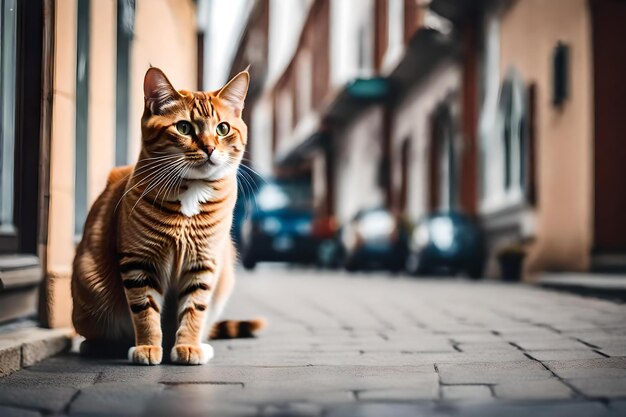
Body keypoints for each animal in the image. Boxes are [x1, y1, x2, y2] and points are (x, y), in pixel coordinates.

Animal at [72, 67, 262, 364]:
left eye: (222, 129)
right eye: (183, 127)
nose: (209, 148)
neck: (191, 192)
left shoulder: (203, 261)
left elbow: (194, 309)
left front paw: (188, 346)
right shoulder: (139, 261)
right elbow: (145, 310)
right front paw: (148, 347)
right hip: (91, 289)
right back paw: (97, 346)